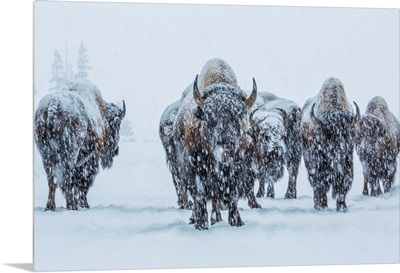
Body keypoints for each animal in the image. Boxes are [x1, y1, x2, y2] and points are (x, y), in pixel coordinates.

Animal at [34, 81, 125, 210]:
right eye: (117, 126)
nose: (116, 151)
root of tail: (52, 107)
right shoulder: (90, 158)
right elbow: (82, 182)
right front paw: (85, 204)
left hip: (46, 155)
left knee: (52, 179)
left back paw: (50, 207)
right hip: (70, 154)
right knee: (67, 177)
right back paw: (71, 206)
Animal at [173, 58, 258, 230]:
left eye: (239, 116)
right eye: (209, 117)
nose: (225, 148)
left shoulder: (237, 168)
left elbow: (232, 195)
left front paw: (237, 222)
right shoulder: (195, 167)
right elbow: (199, 195)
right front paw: (201, 224)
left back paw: (216, 218)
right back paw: (198, 218)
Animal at [300, 77, 360, 211]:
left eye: (348, 134)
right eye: (328, 134)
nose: (340, 151)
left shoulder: (347, 164)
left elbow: (343, 184)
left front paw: (342, 207)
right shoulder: (318, 164)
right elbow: (320, 183)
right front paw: (321, 205)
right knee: (316, 185)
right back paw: (319, 204)